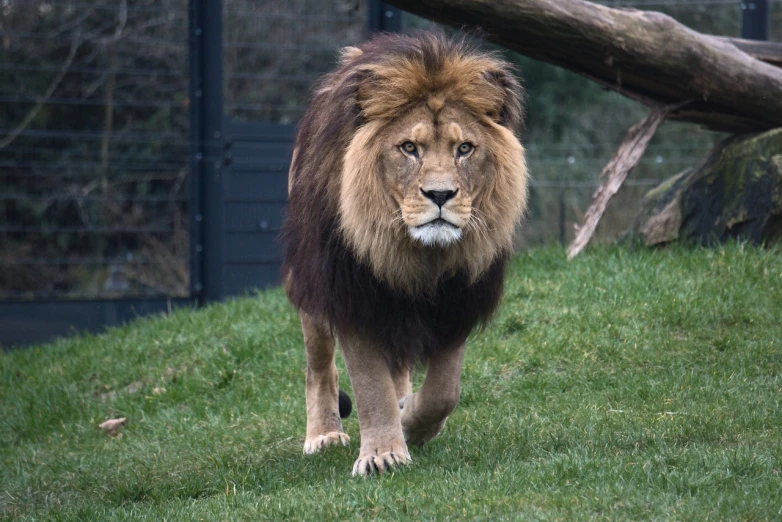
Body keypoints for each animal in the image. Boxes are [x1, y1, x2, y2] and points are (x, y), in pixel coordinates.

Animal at [278, 29, 528, 476]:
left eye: (465, 148)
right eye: (409, 147)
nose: (441, 195)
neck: (416, 256)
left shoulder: (458, 298)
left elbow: (444, 390)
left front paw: (412, 424)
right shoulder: (351, 295)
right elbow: (369, 385)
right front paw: (383, 454)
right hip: (310, 288)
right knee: (319, 366)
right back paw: (324, 434)